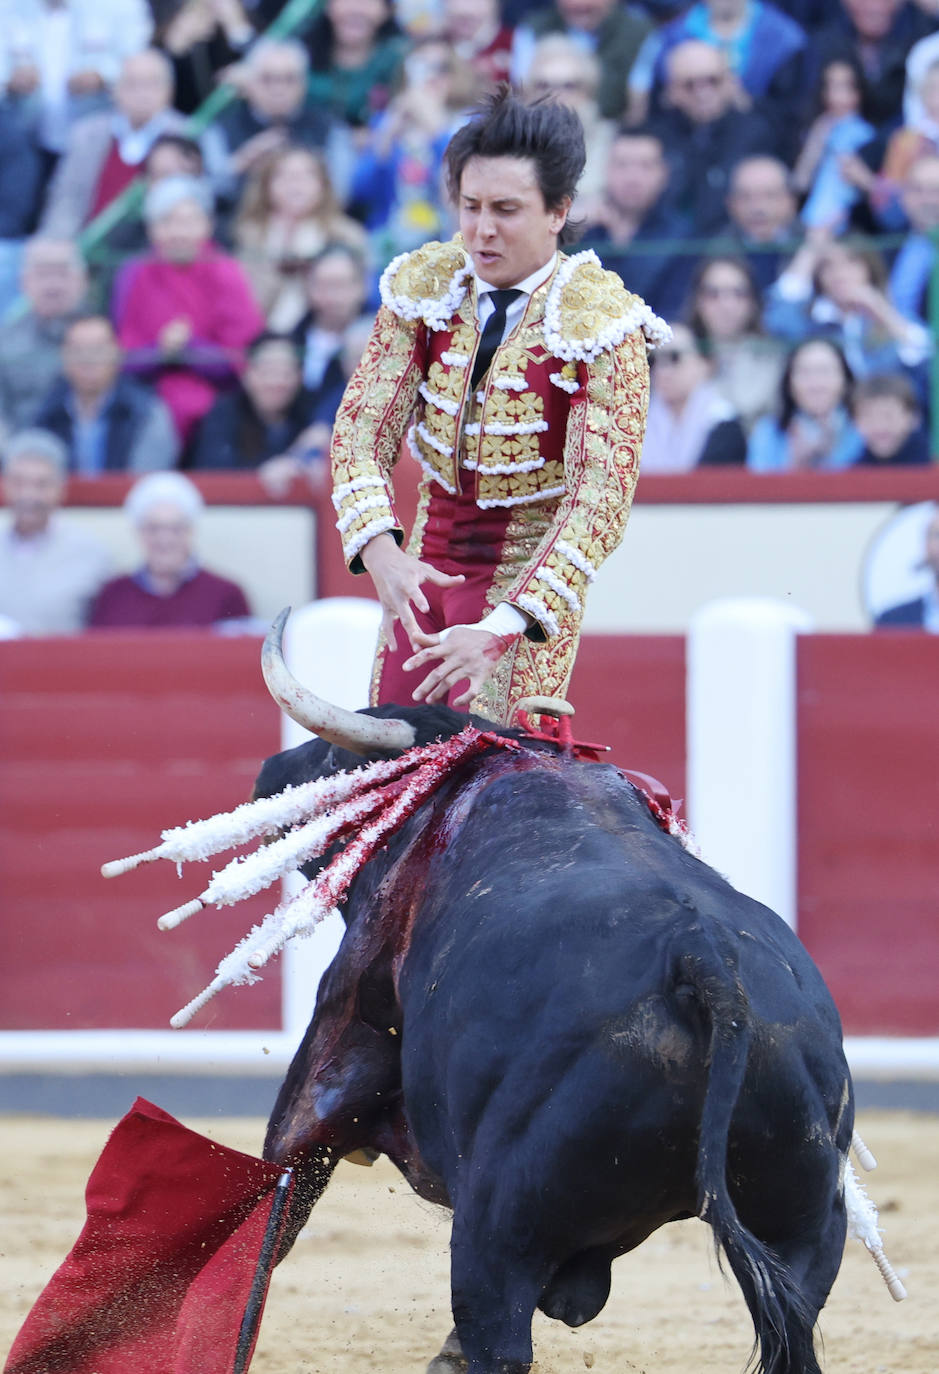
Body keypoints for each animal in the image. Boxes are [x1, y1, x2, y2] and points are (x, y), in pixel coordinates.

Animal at [255, 708, 852, 1374]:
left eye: (337, 760)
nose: (271, 770)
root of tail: (703, 957)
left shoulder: (339, 1029)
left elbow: (280, 1194)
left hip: (496, 1229)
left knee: (499, 1336)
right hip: (807, 1222)